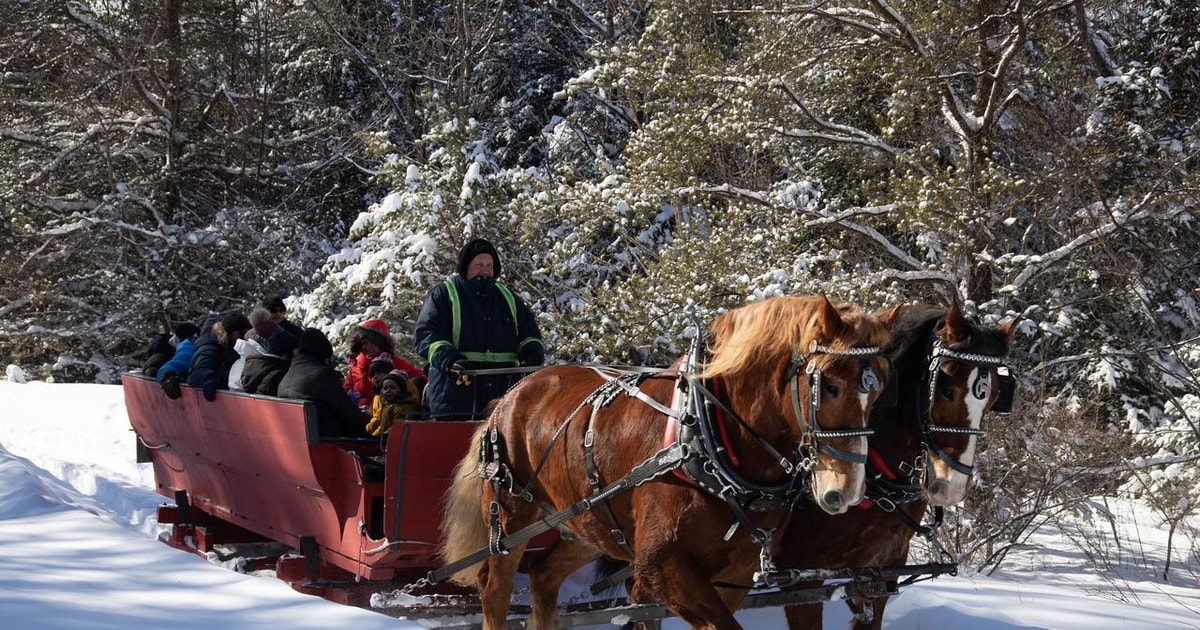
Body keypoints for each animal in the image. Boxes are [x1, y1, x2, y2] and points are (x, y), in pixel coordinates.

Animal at [441, 296, 902, 628]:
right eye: (829, 385)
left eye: (880, 390)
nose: (846, 490)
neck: (711, 438)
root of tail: (510, 395)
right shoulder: (661, 566)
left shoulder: (733, 573)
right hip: (510, 516)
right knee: (495, 591)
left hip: (586, 522)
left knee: (542, 578)